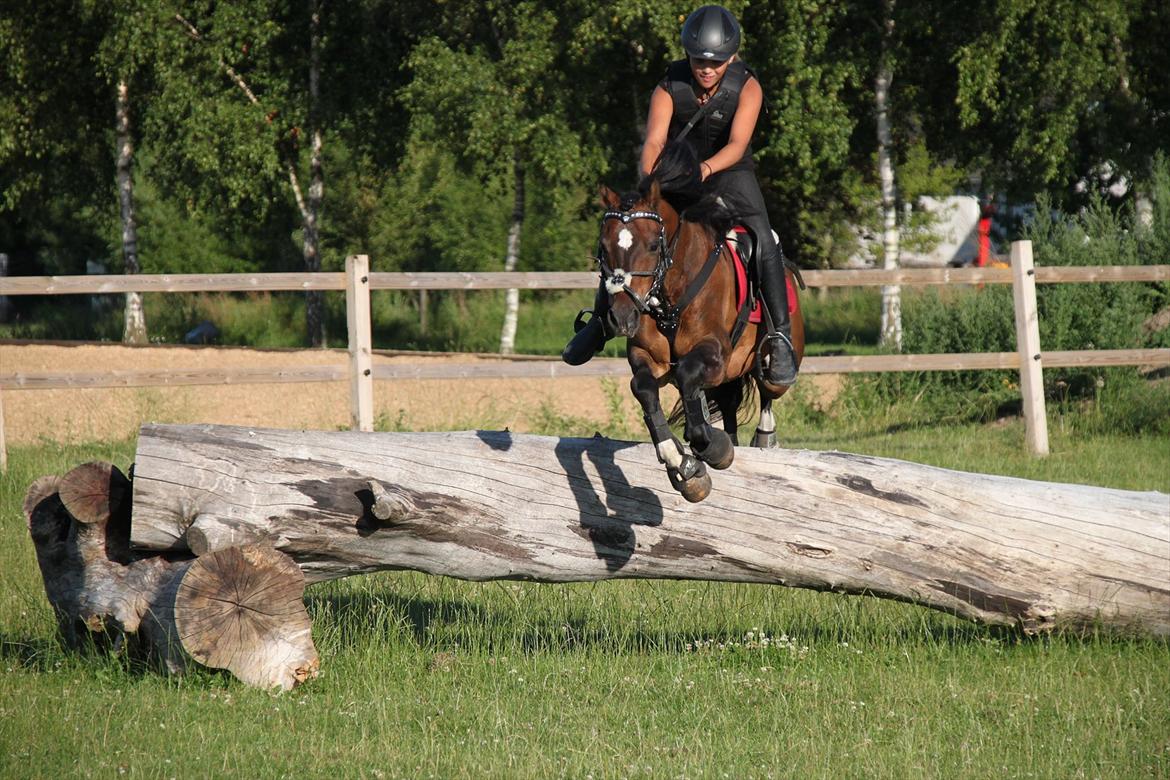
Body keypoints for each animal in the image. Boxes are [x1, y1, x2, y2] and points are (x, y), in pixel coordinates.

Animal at [599, 144, 800, 502]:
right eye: (603, 247)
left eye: (653, 245)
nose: (621, 317)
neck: (671, 294)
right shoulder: (646, 356)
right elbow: (644, 388)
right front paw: (681, 462)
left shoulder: (715, 352)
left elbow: (688, 373)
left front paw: (712, 448)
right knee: (729, 403)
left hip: (772, 362)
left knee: (768, 390)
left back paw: (765, 437)